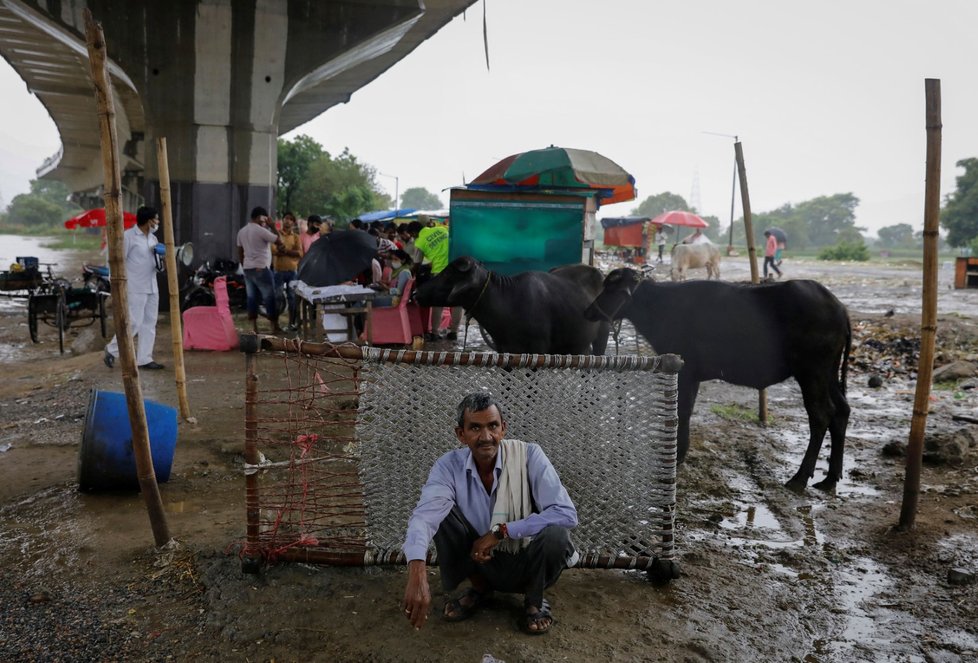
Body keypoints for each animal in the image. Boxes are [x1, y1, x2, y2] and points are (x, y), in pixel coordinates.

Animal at [416, 256, 608, 356]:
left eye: (448, 274)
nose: (416, 293)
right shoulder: (505, 351)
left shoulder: (537, 351)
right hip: (578, 346)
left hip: (601, 337)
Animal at [584, 268, 852, 492]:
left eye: (611, 288)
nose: (588, 311)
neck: (659, 306)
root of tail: (839, 308)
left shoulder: (686, 372)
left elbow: (683, 411)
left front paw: (678, 455)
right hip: (829, 373)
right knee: (842, 411)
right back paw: (830, 479)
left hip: (812, 372)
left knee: (821, 414)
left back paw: (799, 478)